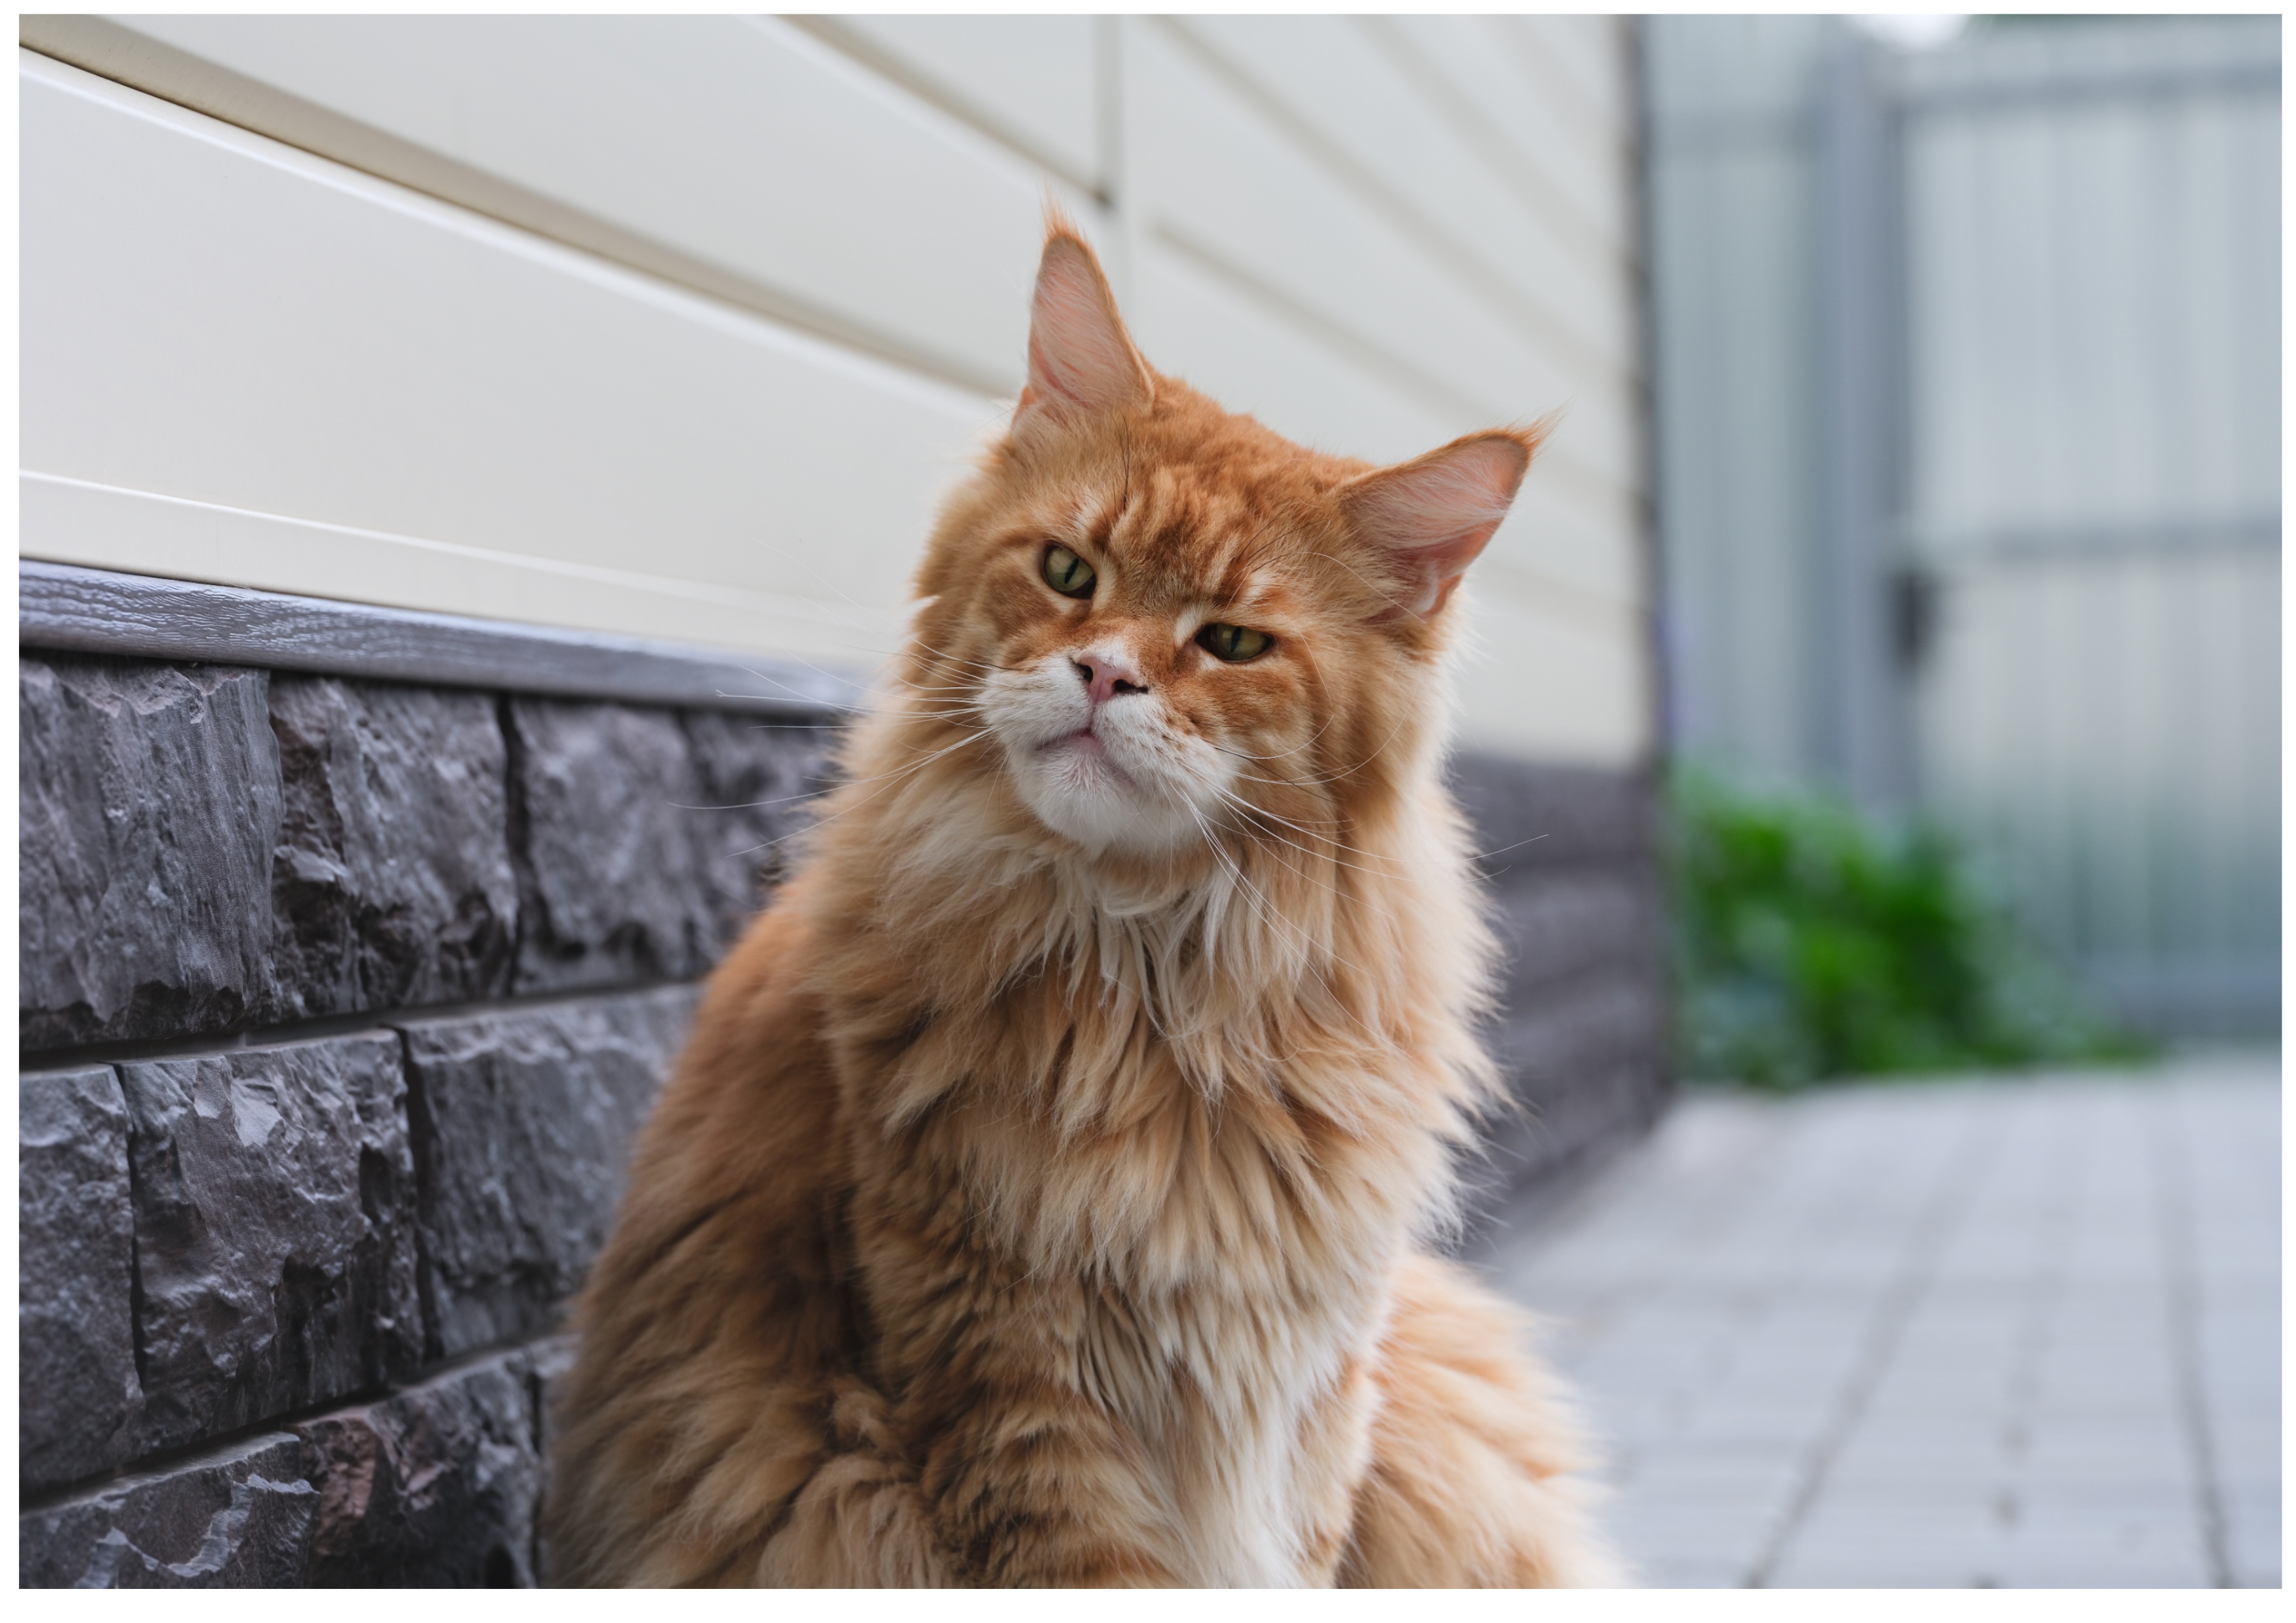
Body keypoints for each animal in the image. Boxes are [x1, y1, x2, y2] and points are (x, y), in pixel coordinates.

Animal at [539, 215, 1625, 1588]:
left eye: (1231, 643)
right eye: (1068, 571)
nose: (1104, 673)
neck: (1154, 984)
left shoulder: (1309, 1395)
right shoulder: (1006, 1370)